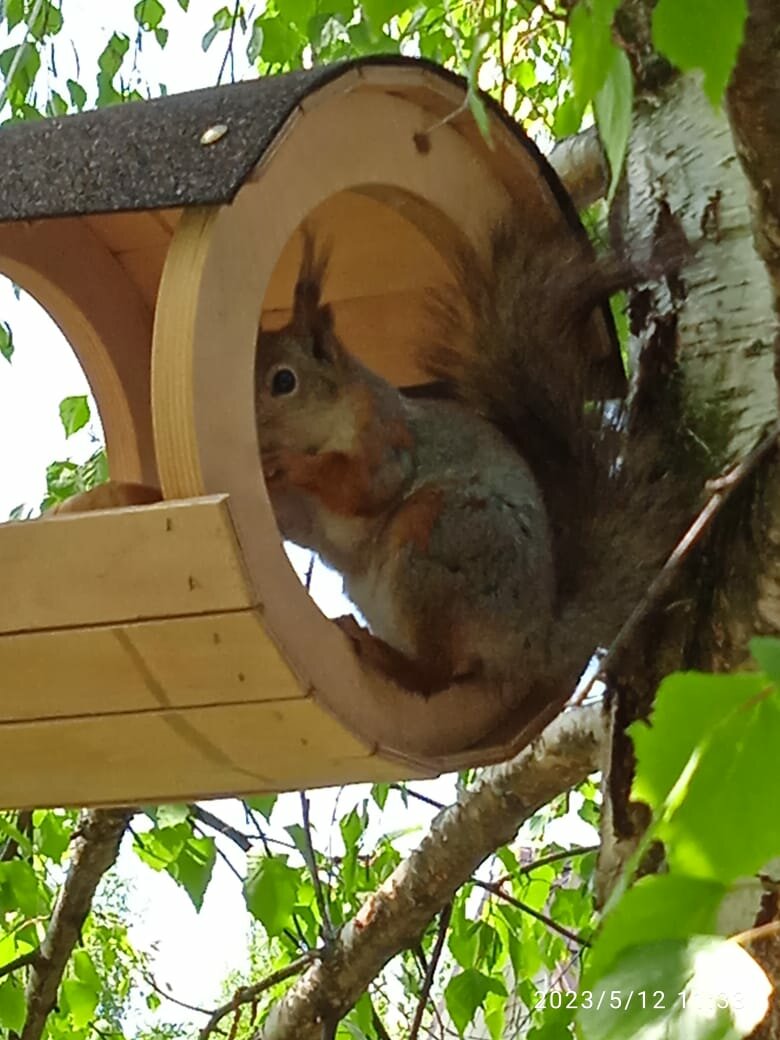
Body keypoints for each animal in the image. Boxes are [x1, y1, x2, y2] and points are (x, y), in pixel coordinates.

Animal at [255, 222, 688, 704]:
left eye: (284, 381)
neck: (327, 423)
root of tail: (532, 644)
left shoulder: (386, 439)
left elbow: (366, 486)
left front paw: (291, 463)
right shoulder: (311, 515)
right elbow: (301, 525)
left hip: (440, 537)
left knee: (435, 676)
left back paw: (383, 655)